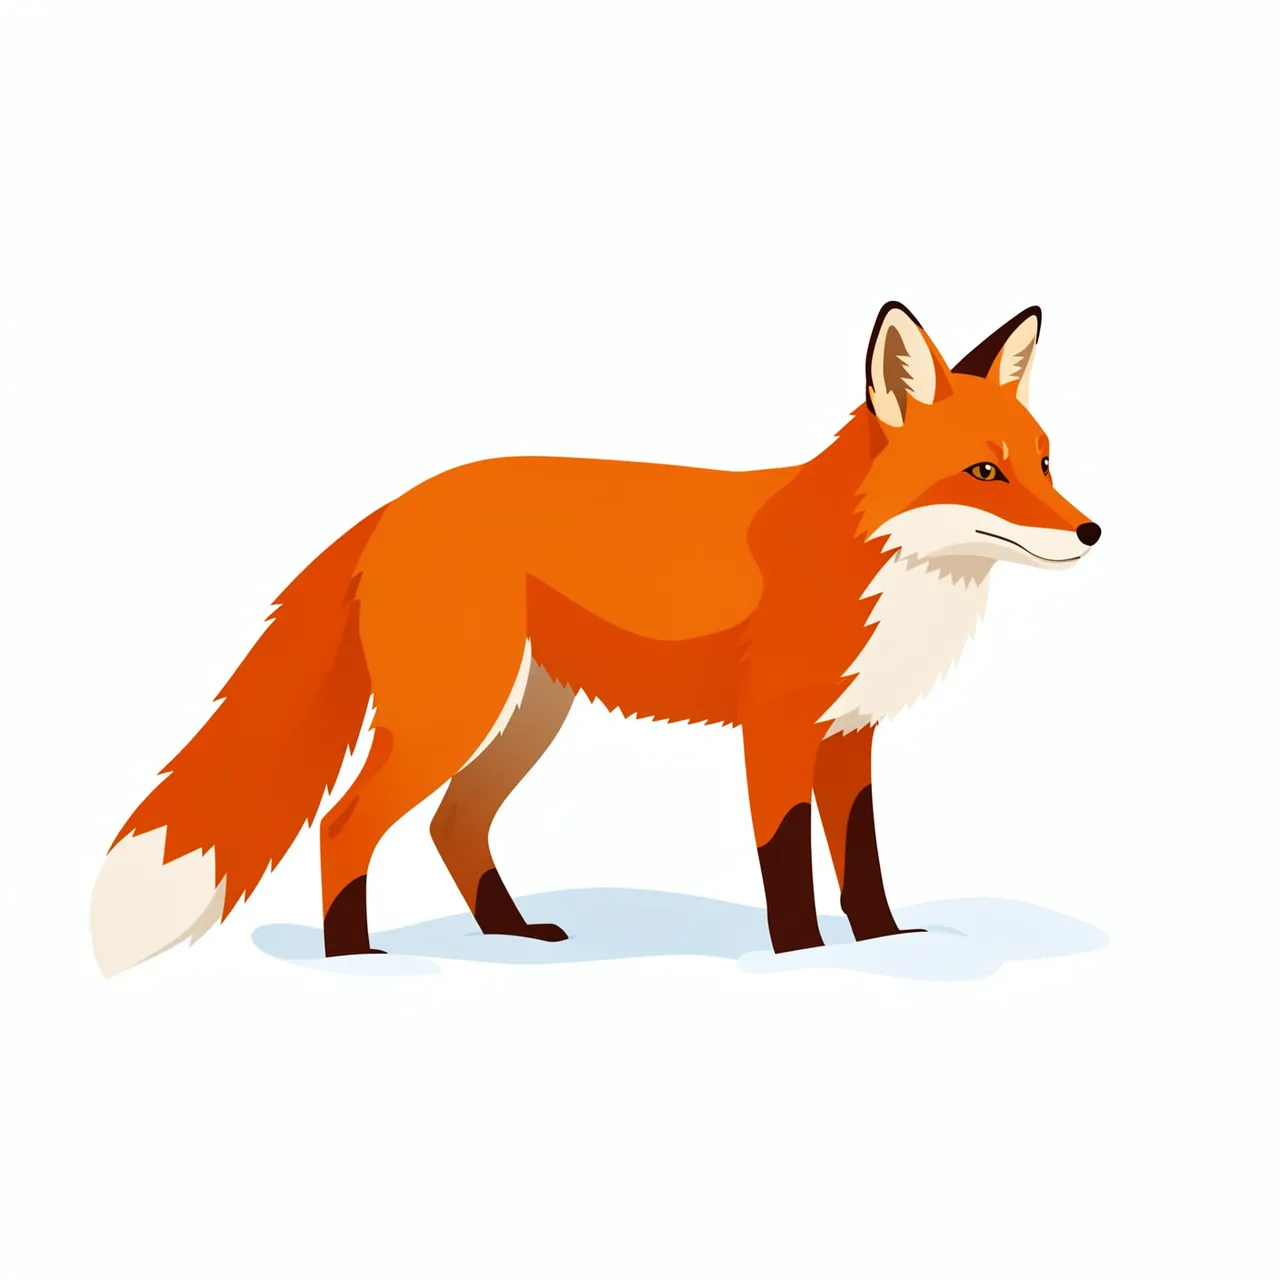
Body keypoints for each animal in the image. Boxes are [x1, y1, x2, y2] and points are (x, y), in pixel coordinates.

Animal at [90, 302, 1099, 976]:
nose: (1092, 533)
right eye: (982, 473)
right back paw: (357, 961)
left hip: (528, 716)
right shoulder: (775, 729)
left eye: (1046, 463)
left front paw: (885, 945)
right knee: (347, 825)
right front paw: (802, 956)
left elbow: (865, 861)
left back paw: (510, 935)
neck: (879, 561)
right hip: (452, 716)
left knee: (454, 824)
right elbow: (786, 860)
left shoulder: (850, 734)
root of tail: (395, 506)